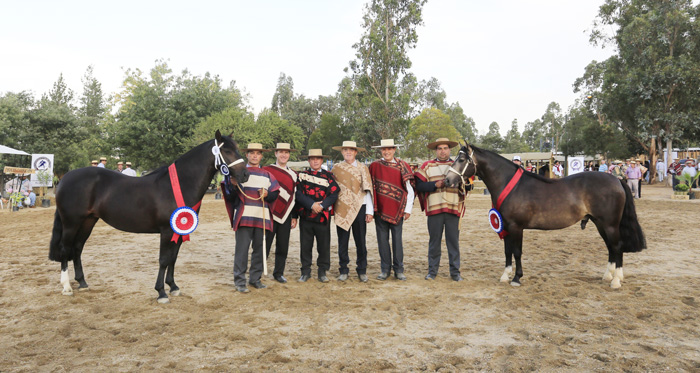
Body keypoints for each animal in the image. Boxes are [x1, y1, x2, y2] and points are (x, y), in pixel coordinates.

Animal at [47, 131, 249, 302]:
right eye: (226, 150)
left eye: (237, 148)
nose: (245, 174)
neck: (180, 184)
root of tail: (65, 178)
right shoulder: (167, 231)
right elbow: (164, 259)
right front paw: (161, 292)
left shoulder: (179, 230)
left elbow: (173, 258)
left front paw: (173, 287)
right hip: (71, 223)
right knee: (66, 249)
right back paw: (67, 287)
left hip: (88, 221)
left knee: (77, 248)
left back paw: (82, 283)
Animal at [446, 143, 648, 288]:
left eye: (462, 159)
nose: (447, 180)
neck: (511, 185)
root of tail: (616, 179)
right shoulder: (505, 226)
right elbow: (507, 251)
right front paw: (505, 275)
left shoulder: (516, 227)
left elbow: (517, 252)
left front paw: (517, 278)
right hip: (600, 223)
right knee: (611, 248)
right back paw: (608, 275)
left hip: (610, 224)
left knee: (617, 246)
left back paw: (616, 280)